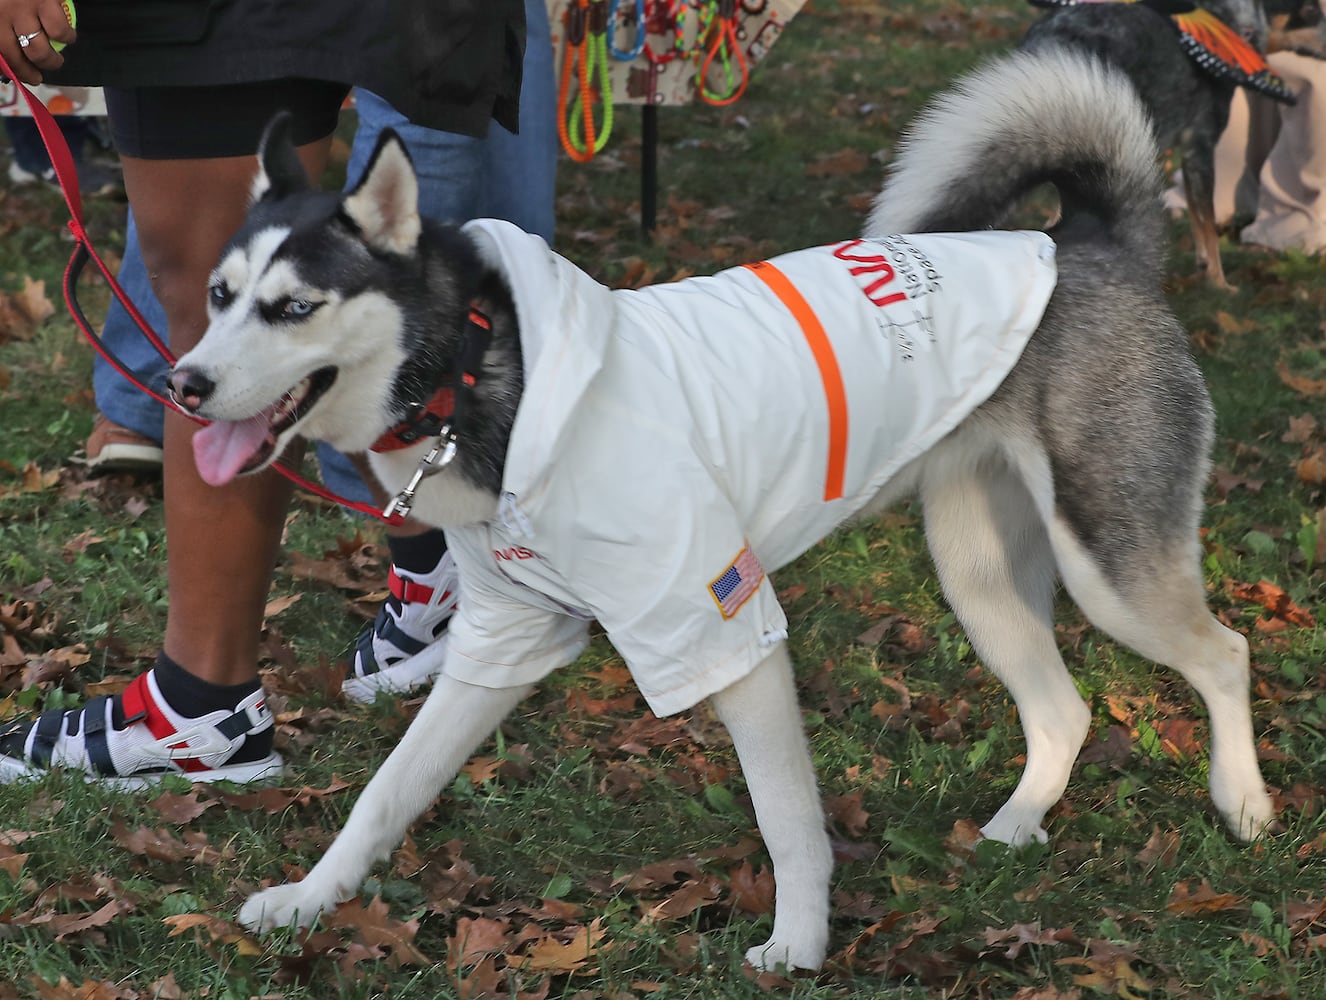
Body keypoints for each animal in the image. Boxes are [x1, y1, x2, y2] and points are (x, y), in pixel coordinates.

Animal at [168, 50, 1272, 970]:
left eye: (294, 308)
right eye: (220, 295)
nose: (183, 384)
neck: (483, 374)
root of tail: (1085, 242)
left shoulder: (723, 630)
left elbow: (787, 818)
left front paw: (800, 944)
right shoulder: (502, 644)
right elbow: (386, 791)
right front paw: (311, 900)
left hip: (1108, 565)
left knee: (1223, 654)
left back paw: (1244, 802)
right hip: (981, 577)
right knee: (1062, 711)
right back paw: (1011, 829)